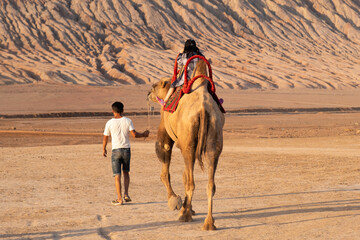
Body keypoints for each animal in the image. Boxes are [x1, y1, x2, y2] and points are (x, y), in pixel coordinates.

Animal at [148, 58, 224, 231]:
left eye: (154, 86)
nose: (148, 94)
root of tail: (203, 109)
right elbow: (184, 175)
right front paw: (186, 205)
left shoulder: (166, 130)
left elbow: (165, 164)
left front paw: (175, 202)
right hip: (214, 139)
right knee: (210, 184)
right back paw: (209, 223)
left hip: (189, 144)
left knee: (191, 182)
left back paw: (185, 216)